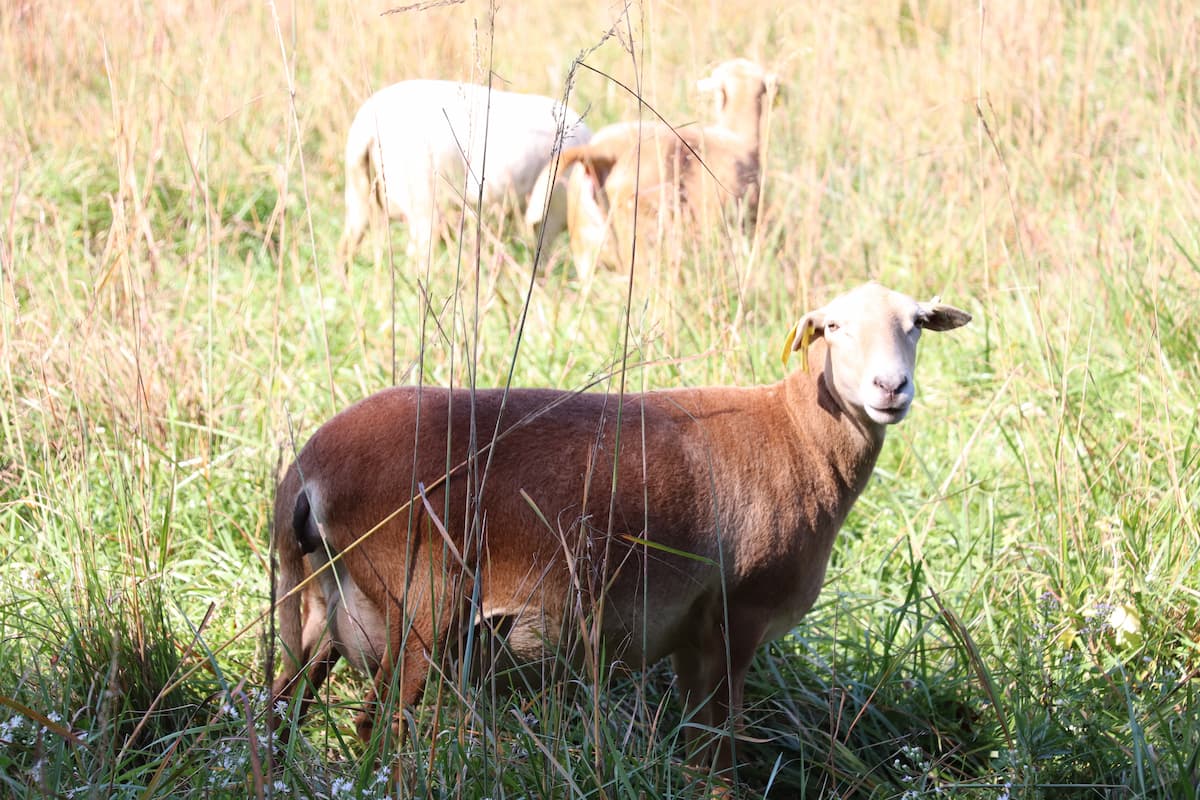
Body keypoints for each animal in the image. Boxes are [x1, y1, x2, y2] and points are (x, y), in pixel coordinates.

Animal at [270, 282, 971, 774]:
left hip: (323, 607)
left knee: (279, 712)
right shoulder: (734, 617)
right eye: (834, 326)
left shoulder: (691, 634)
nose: (890, 387)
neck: (800, 434)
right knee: (378, 726)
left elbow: (700, 751)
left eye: (916, 325)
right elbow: (721, 754)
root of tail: (305, 472)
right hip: (423, 606)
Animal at [338, 79, 591, 266]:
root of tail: (367, 129)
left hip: (359, 195)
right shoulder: (552, 212)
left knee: (346, 249)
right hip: (423, 202)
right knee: (419, 256)